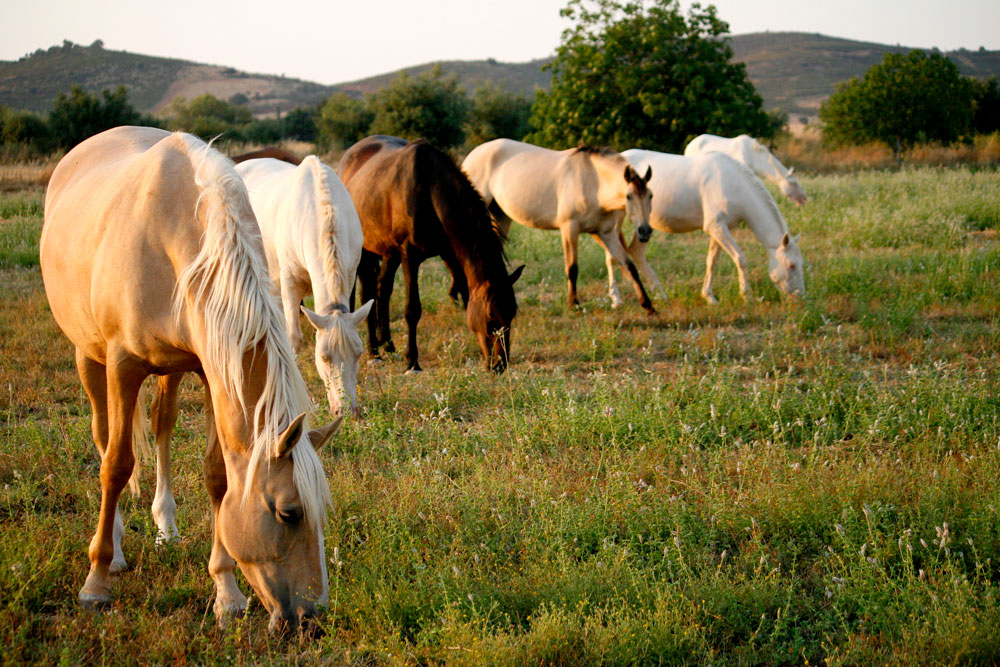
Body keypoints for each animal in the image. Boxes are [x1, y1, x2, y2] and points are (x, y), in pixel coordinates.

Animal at [40, 128, 340, 636]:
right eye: (288, 513)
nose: (311, 619)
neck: (172, 230)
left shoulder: (209, 365)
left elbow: (218, 475)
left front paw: (227, 594)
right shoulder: (122, 365)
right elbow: (117, 465)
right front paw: (96, 582)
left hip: (172, 370)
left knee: (162, 425)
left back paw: (166, 527)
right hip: (89, 357)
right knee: (104, 437)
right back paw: (115, 549)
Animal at [236, 157, 374, 418]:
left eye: (359, 353)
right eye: (323, 357)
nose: (346, 411)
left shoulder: (350, 273)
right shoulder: (290, 282)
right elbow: (294, 337)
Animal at [338, 136, 524, 374]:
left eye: (512, 314)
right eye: (491, 316)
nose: (499, 364)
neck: (429, 189)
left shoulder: (449, 253)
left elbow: (466, 297)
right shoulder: (409, 255)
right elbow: (412, 309)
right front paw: (412, 361)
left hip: (389, 252)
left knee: (382, 290)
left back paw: (387, 344)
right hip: (364, 250)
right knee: (366, 292)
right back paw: (374, 351)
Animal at [462, 139, 656, 316]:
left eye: (651, 195)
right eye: (629, 196)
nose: (645, 231)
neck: (593, 182)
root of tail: (470, 157)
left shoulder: (607, 234)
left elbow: (630, 266)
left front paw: (649, 306)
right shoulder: (570, 229)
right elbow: (572, 268)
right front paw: (573, 304)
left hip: (501, 217)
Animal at [616, 150, 804, 304]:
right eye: (791, 265)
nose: (800, 297)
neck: (733, 183)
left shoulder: (720, 229)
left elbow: (712, 261)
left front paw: (709, 297)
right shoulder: (716, 226)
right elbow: (740, 258)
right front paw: (747, 296)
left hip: (643, 227)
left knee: (636, 252)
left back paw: (659, 293)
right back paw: (618, 299)